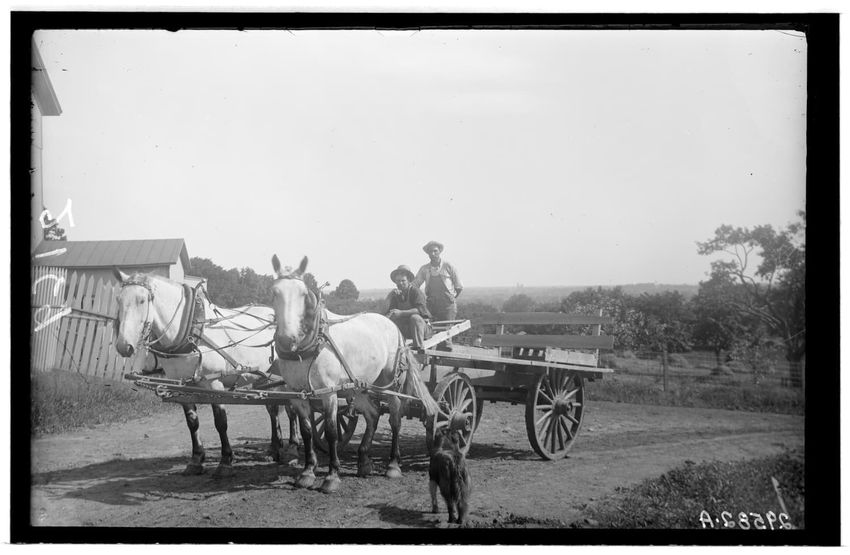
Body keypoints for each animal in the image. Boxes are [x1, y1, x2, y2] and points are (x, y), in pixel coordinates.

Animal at [112, 268, 299, 477]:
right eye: (119, 299)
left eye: (142, 300)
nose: (123, 346)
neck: (189, 332)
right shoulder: (182, 386)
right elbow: (192, 422)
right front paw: (196, 460)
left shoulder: (214, 384)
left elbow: (220, 422)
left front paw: (225, 461)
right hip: (262, 377)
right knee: (272, 408)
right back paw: (274, 448)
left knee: (292, 409)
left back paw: (293, 448)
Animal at [268, 255, 439, 493]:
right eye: (274, 292)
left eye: (302, 294)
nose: (286, 339)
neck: (309, 345)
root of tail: (392, 324)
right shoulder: (297, 394)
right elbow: (307, 430)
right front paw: (307, 472)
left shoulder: (328, 393)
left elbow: (331, 431)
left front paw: (332, 476)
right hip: (359, 387)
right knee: (373, 414)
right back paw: (364, 461)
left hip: (389, 383)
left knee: (395, 417)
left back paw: (393, 465)